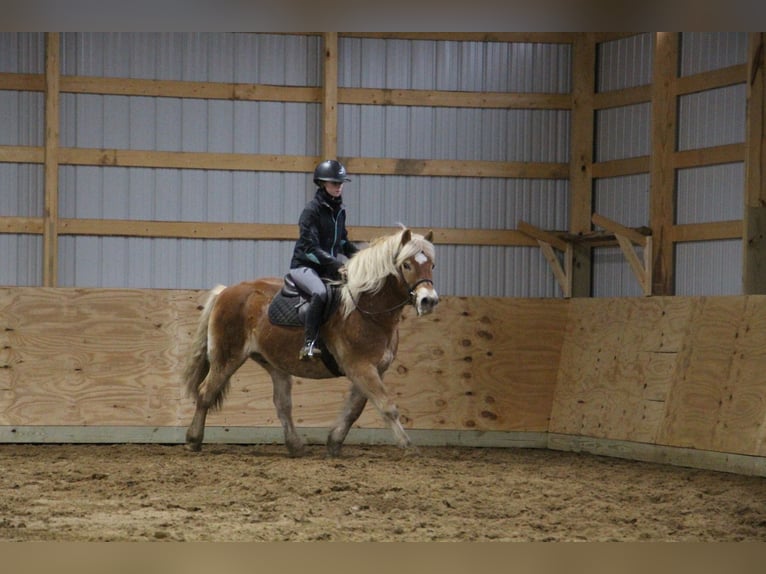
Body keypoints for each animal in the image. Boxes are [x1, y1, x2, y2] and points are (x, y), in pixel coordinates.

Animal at [182, 228, 440, 460]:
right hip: (226, 358)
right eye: (407, 265)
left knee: (282, 404)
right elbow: (387, 407)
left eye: (432, 265)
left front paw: (334, 442)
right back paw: (193, 440)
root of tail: (225, 292)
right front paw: (409, 447)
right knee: (205, 392)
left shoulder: (373, 370)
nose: (428, 301)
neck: (367, 309)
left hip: (273, 363)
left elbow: (354, 410)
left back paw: (296, 446)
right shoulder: (361, 368)